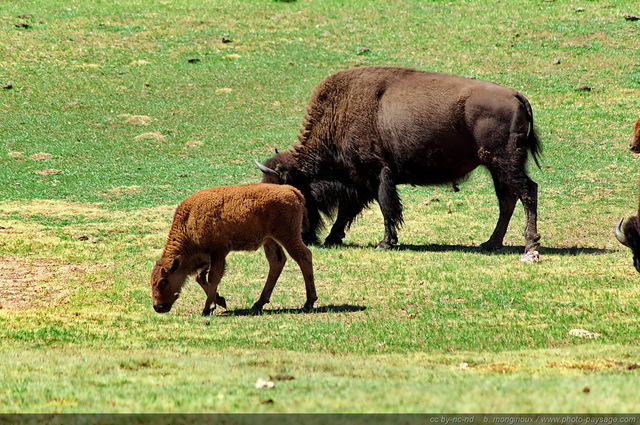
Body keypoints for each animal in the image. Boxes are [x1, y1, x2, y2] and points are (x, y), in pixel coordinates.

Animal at [151, 182, 320, 314]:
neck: (189, 220)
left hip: (288, 236)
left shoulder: (218, 252)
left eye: (163, 282)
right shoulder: (206, 257)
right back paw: (258, 303)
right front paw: (219, 301)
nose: (158, 307)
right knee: (277, 262)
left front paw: (207, 308)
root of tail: (291, 190)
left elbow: (213, 277)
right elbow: (200, 278)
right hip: (270, 240)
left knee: (304, 257)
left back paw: (308, 302)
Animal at [255, 65, 540, 258]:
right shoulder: (361, 180)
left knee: (527, 191)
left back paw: (530, 246)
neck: (340, 114)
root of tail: (515, 95)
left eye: (292, 197)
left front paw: (384, 243)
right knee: (507, 199)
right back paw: (491, 243)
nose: (303, 237)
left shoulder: (378, 174)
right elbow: (350, 209)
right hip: (496, 167)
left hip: (504, 163)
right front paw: (333, 238)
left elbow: (385, 207)